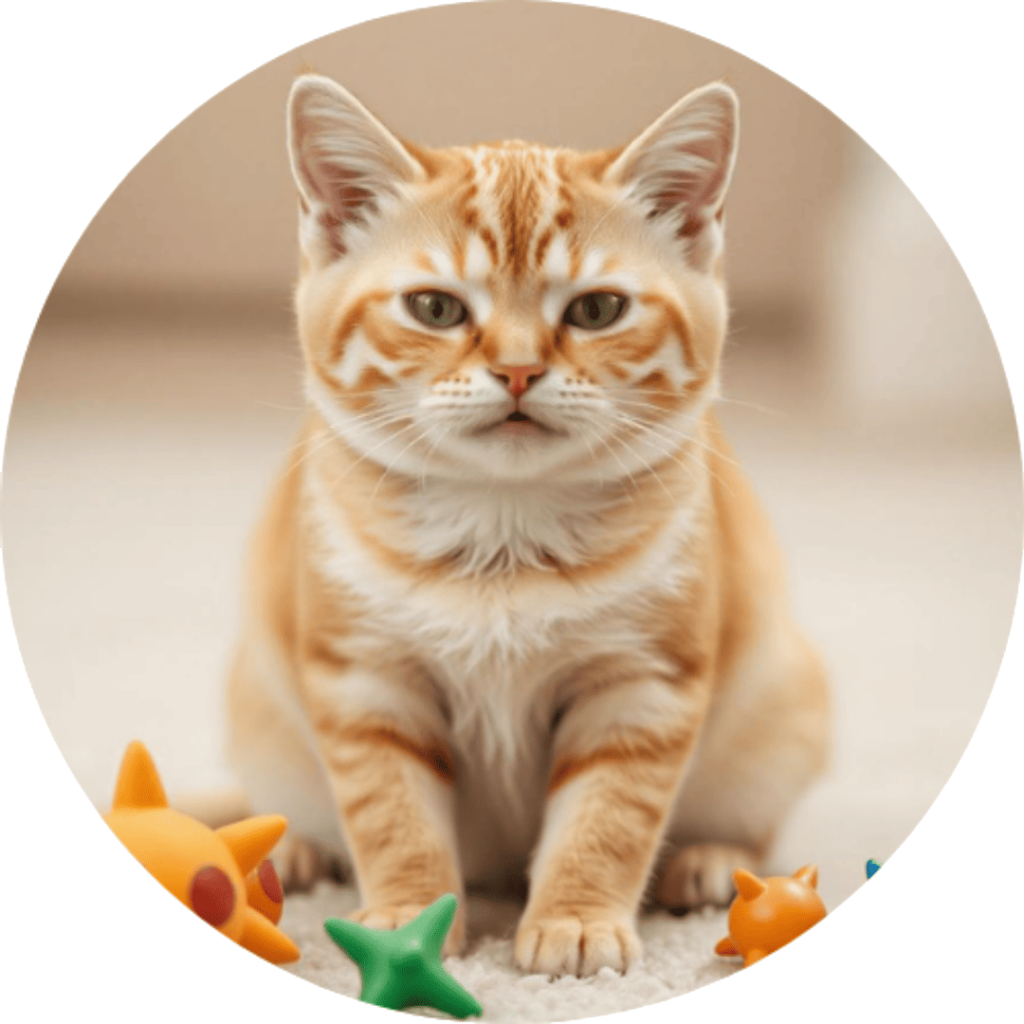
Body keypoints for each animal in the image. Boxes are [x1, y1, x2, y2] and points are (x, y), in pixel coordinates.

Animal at [220, 74, 827, 974]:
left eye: (598, 309)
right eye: (434, 308)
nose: (516, 369)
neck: (502, 536)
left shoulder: (643, 685)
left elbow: (608, 817)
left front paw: (574, 919)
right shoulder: (363, 677)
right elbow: (391, 813)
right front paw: (408, 919)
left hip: (780, 709)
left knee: (752, 822)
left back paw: (713, 861)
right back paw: (293, 850)